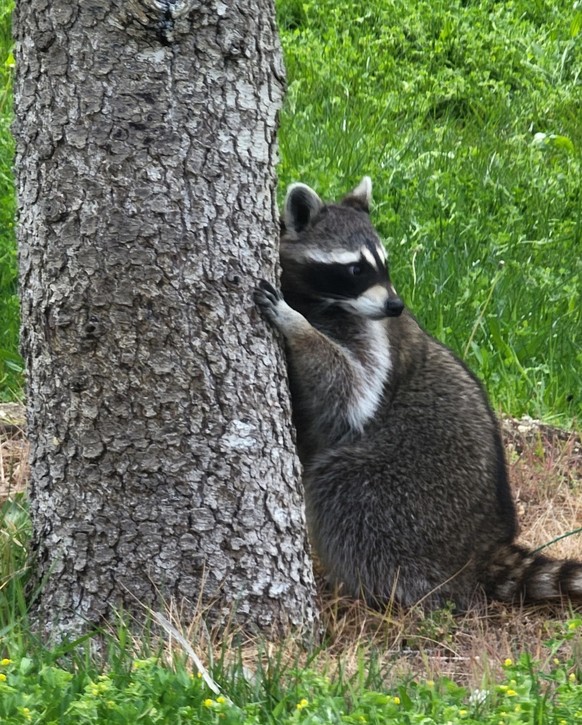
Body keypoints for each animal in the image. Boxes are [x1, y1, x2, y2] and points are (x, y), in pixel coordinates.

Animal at [256, 177, 582, 612]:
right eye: (356, 269)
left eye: (385, 264)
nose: (396, 304)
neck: (322, 301)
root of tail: (486, 541)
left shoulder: (375, 339)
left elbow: (351, 390)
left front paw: (298, 327)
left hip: (408, 491)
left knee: (345, 497)